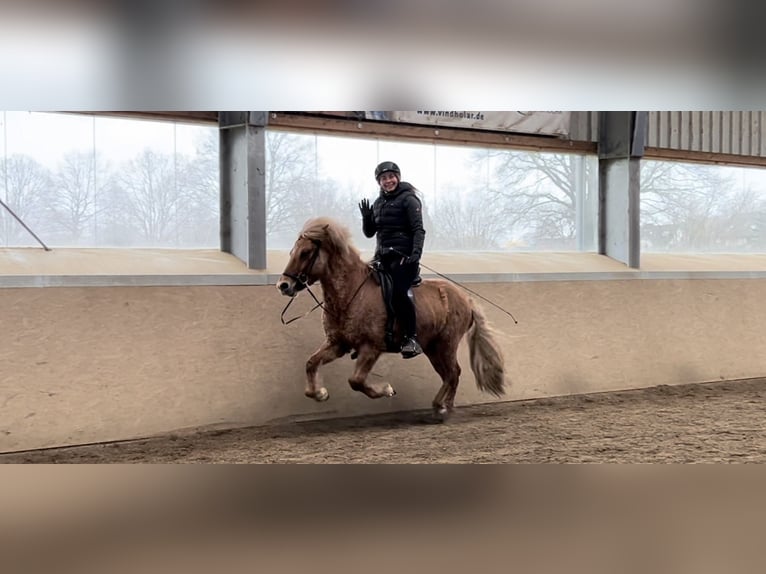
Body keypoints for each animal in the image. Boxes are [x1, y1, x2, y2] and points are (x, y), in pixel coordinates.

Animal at [278, 218, 510, 420]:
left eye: (306, 253)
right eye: (292, 252)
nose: (284, 285)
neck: (352, 293)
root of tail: (466, 299)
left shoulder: (371, 348)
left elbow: (356, 381)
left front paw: (387, 390)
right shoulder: (337, 344)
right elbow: (311, 363)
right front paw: (320, 393)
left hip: (446, 344)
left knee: (453, 373)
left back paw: (444, 410)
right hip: (433, 348)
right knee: (448, 375)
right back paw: (439, 406)